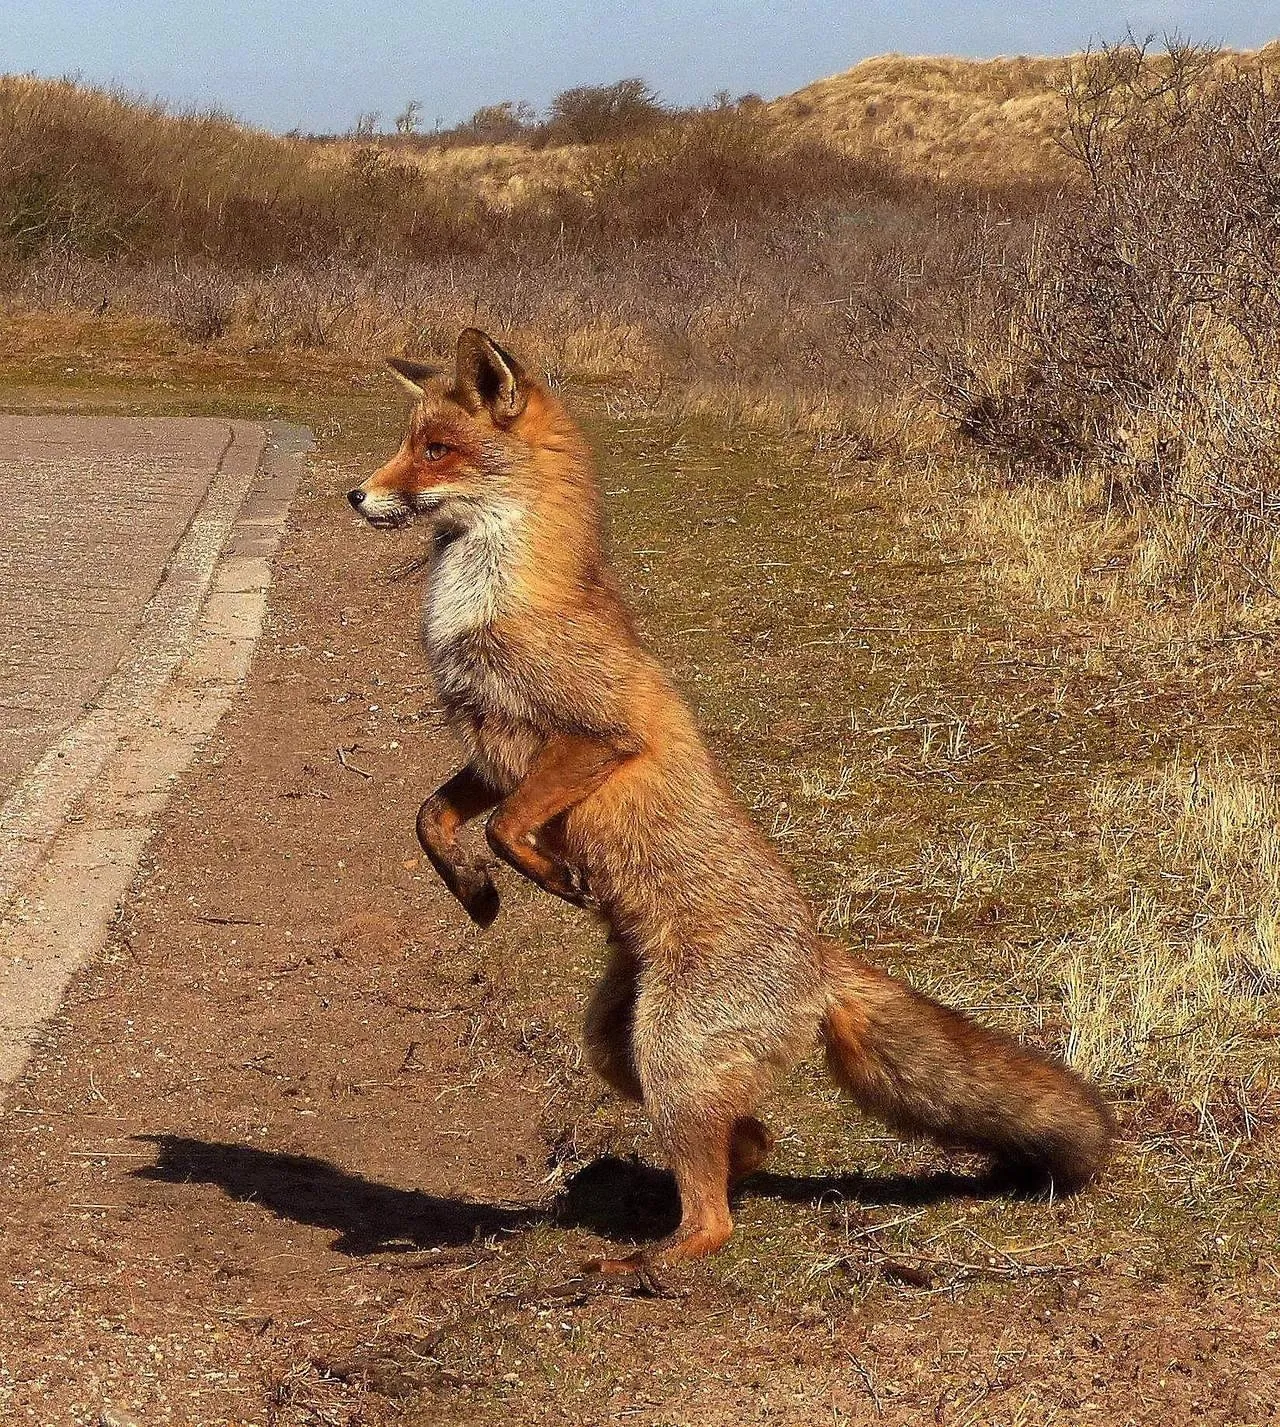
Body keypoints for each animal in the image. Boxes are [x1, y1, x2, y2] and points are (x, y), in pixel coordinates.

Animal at [346, 328, 1115, 1274]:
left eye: (435, 451)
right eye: (409, 442)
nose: (357, 494)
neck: (496, 596)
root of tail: (819, 958)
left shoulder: (598, 734)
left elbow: (506, 824)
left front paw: (543, 876)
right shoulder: (491, 750)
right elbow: (432, 819)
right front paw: (475, 895)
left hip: (668, 1051)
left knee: (715, 1214)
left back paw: (647, 1264)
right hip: (620, 1045)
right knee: (746, 1142)